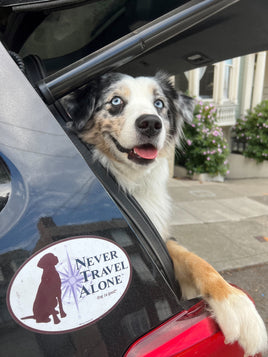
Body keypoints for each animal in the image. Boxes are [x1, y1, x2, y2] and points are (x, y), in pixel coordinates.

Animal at [62, 71, 266, 354]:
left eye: (158, 104)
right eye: (116, 101)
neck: (133, 179)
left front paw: (237, 305)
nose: (151, 123)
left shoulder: (165, 240)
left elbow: (198, 261)